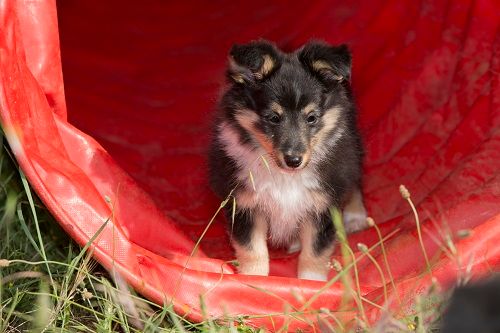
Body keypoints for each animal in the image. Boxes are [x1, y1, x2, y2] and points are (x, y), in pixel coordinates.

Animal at [209, 39, 366, 280]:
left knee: (355, 179)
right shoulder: (244, 204)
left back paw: (357, 218)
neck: (285, 175)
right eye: (273, 118)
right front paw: (253, 280)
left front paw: (311, 284)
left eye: (312, 118)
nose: (294, 160)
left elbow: (314, 254)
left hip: (350, 149)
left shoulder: (323, 205)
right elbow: (252, 251)